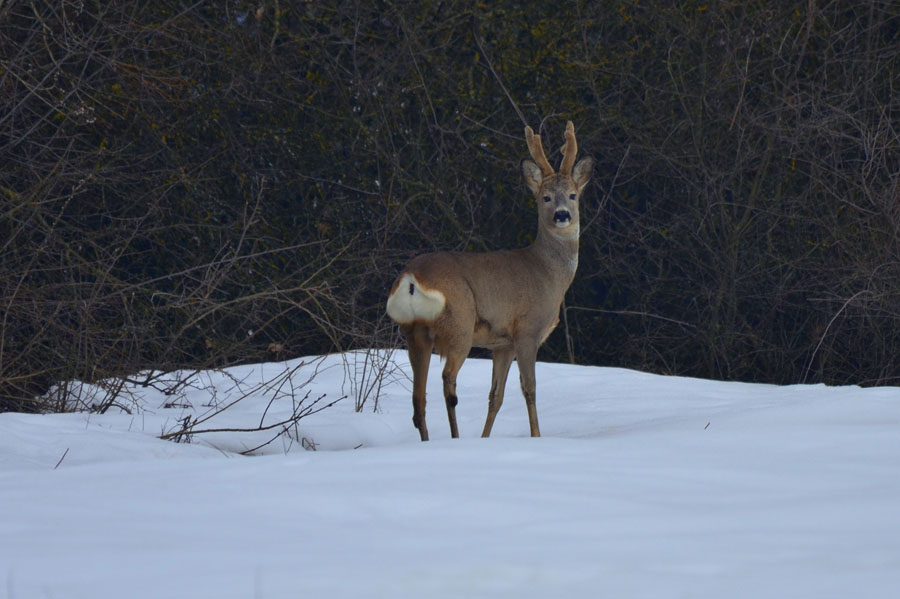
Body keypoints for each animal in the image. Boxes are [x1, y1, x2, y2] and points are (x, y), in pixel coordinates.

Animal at [384, 120, 592, 440]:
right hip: (460, 323)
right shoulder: (527, 330)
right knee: (447, 381)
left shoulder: (501, 343)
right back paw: (455, 437)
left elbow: (496, 395)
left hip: (414, 331)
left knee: (418, 398)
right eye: (545, 197)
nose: (562, 216)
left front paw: (485, 438)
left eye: (572, 195)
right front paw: (536, 436)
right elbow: (529, 389)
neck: (549, 273)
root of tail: (410, 278)